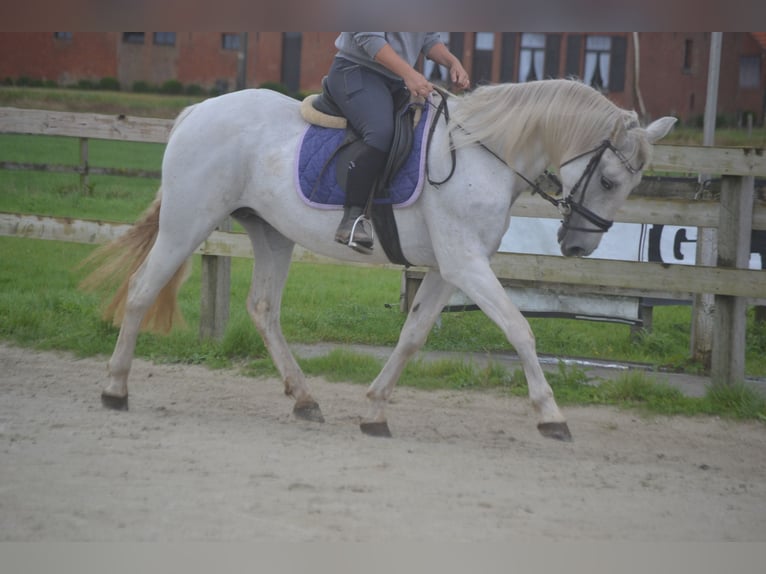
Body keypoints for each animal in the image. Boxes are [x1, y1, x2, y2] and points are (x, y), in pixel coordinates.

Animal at [81, 80, 676, 440]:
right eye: (609, 179)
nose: (579, 247)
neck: (485, 155)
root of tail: (195, 113)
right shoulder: (466, 265)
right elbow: (519, 329)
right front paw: (551, 415)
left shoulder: (448, 270)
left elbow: (412, 337)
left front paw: (374, 411)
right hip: (188, 222)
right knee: (142, 290)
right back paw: (114, 389)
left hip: (271, 234)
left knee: (263, 310)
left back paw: (304, 400)